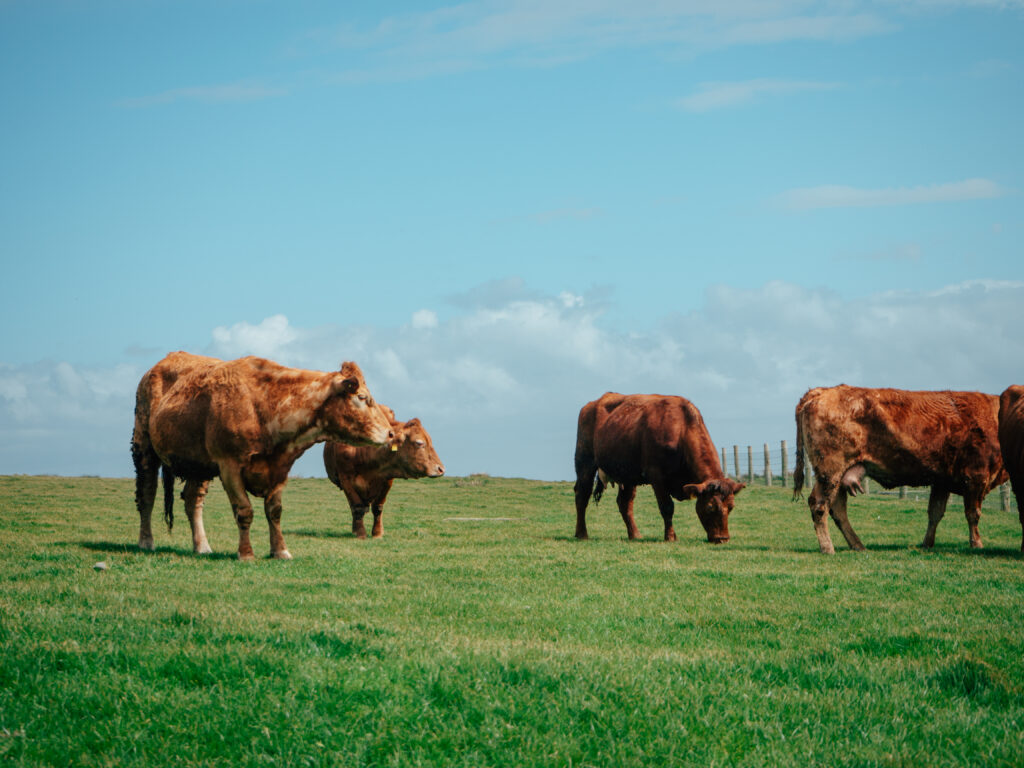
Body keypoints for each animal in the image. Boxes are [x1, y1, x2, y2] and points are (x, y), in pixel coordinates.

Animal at [131, 352, 391, 561]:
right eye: (362, 398)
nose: (390, 433)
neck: (265, 404)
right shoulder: (229, 467)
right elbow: (244, 511)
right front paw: (246, 553)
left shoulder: (281, 469)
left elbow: (274, 511)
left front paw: (280, 551)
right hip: (143, 447)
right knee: (147, 495)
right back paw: (146, 541)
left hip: (199, 465)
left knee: (193, 501)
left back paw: (202, 546)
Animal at [323, 409, 444, 540]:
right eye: (419, 443)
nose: (441, 469)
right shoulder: (346, 479)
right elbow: (357, 507)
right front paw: (360, 533)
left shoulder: (386, 480)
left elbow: (378, 507)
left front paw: (377, 533)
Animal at [577, 393, 745, 544]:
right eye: (710, 507)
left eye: (731, 507)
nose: (722, 539)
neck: (681, 430)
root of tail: (592, 404)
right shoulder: (657, 476)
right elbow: (667, 507)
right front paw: (670, 536)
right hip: (585, 462)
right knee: (582, 495)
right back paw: (581, 534)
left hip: (628, 474)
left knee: (625, 503)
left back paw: (635, 534)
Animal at [794, 387, 1003, 557]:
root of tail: (821, 391)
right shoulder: (976, 478)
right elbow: (972, 514)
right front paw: (977, 544)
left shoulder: (941, 482)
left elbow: (935, 512)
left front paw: (927, 544)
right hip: (830, 473)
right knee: (819, 505)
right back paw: (828, 548)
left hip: (838, 477)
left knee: (837, 509)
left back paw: (858, 545)